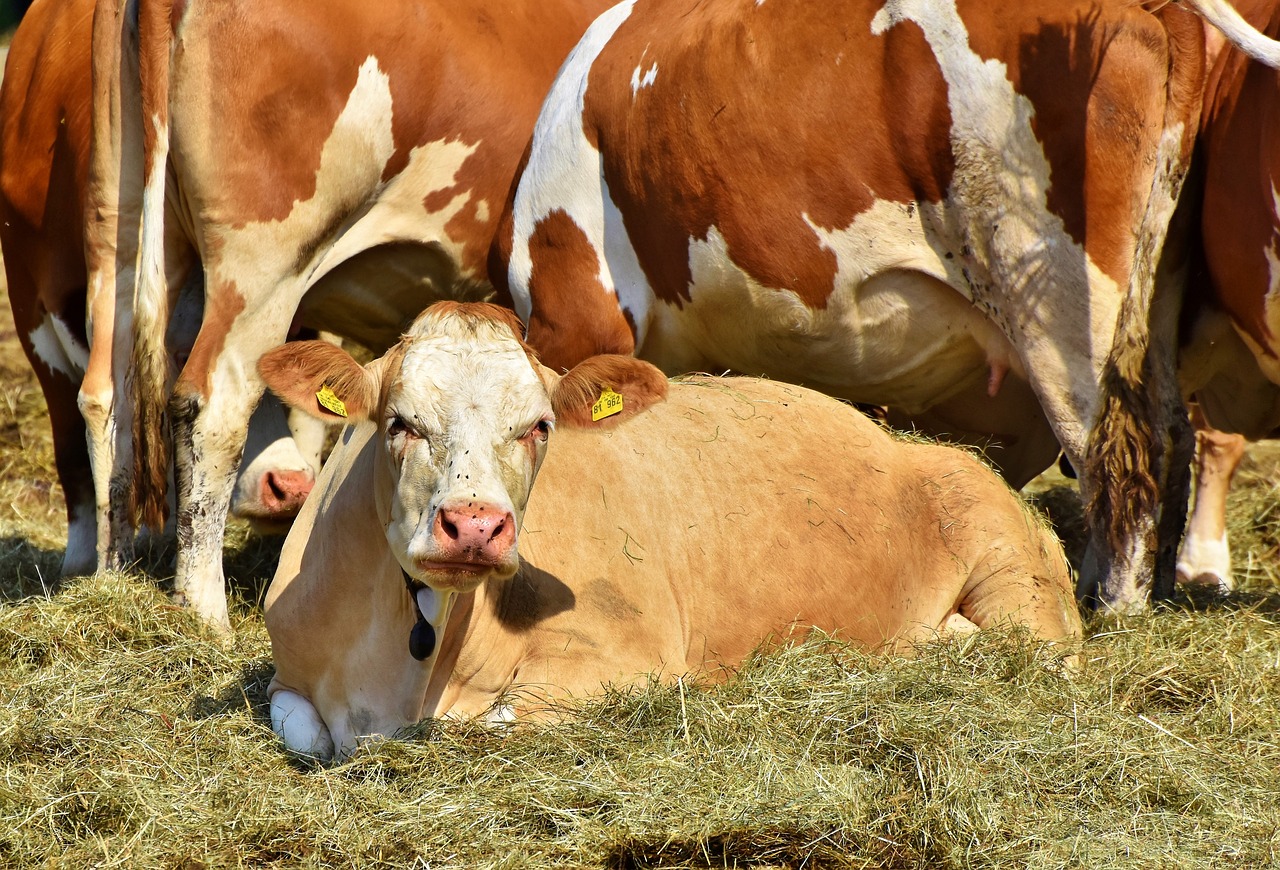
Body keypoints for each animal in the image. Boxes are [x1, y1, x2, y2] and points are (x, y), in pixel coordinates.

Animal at [83, 0, 614, 624]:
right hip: (263, 261)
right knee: (214, 408)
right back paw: (204, 611)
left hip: (116, 227)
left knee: (106, 399)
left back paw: (110, 582)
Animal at [494, 0, 1280, 614]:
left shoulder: (578, 310)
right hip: (1155, 288)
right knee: (1168, 432)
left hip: (1058, 299)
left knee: (1116, 447)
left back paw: (1112, 606)